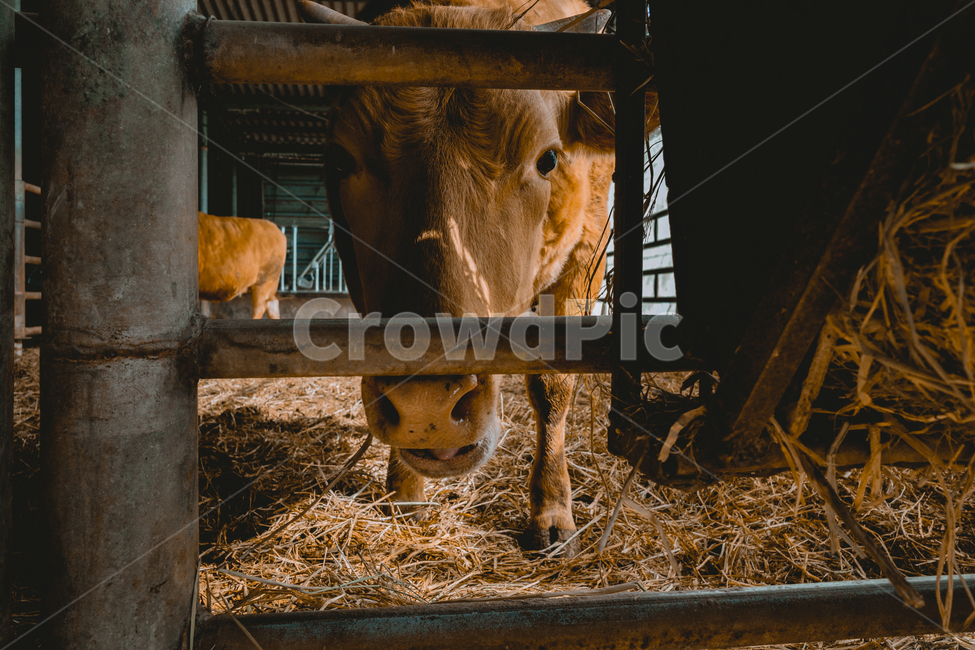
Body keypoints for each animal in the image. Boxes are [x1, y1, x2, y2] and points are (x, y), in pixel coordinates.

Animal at [301, 0, 659, 556]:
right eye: (340, 159)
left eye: (549, 159)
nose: (426, 407)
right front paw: (404, 492)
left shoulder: (584, 256)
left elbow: (553, 385)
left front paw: (552, 510)